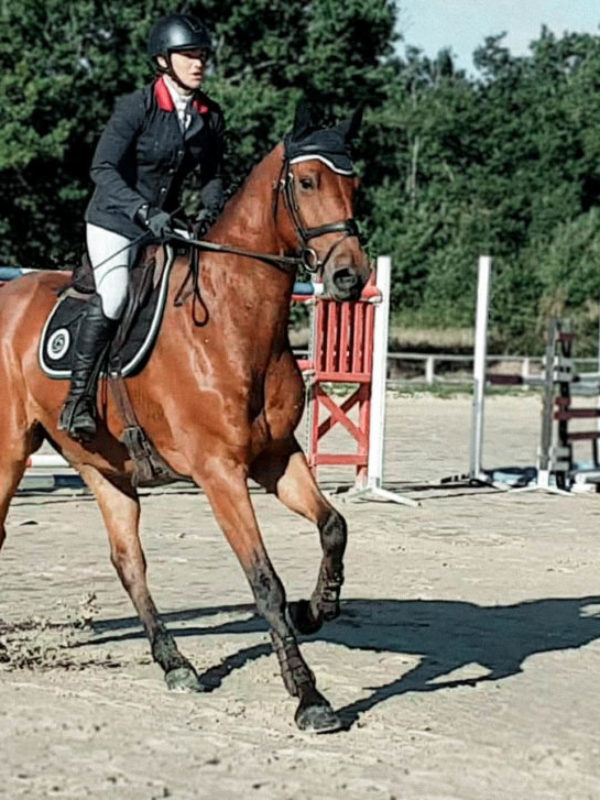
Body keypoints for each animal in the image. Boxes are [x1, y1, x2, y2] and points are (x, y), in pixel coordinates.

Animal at [0, 104, 370, 733]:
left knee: (128, 561)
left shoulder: (276, 458)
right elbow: (264, 581)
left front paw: (317, 608)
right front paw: (309, 696)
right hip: (8, 450)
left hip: (103, 467)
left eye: (355, 183)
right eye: (306, 181)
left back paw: (175, 664)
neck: (233, 319)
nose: (351, 276)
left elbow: (333, 526)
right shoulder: (219, 472)